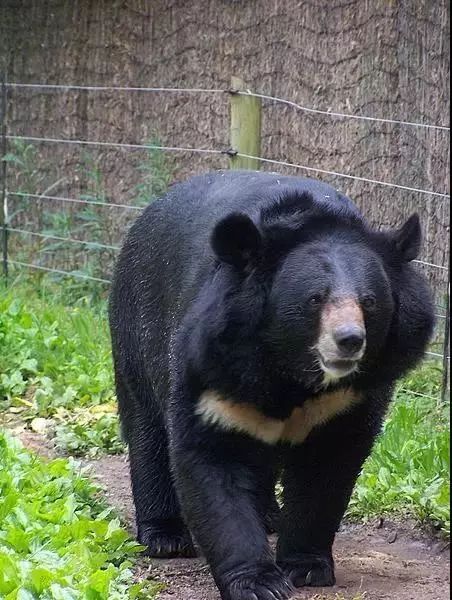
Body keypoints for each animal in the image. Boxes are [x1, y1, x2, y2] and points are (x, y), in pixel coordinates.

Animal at [109, 169, 434, 600]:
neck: (291, 370)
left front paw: (305, 567)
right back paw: (165, 537)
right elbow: (211, 458)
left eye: (369, 301)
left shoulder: (352, 397)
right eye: (315, 299)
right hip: (136, 325)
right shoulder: (212, 365)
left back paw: (268, 517)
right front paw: (259, 583)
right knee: (147, 430)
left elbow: (325, 471)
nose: (349, 340)